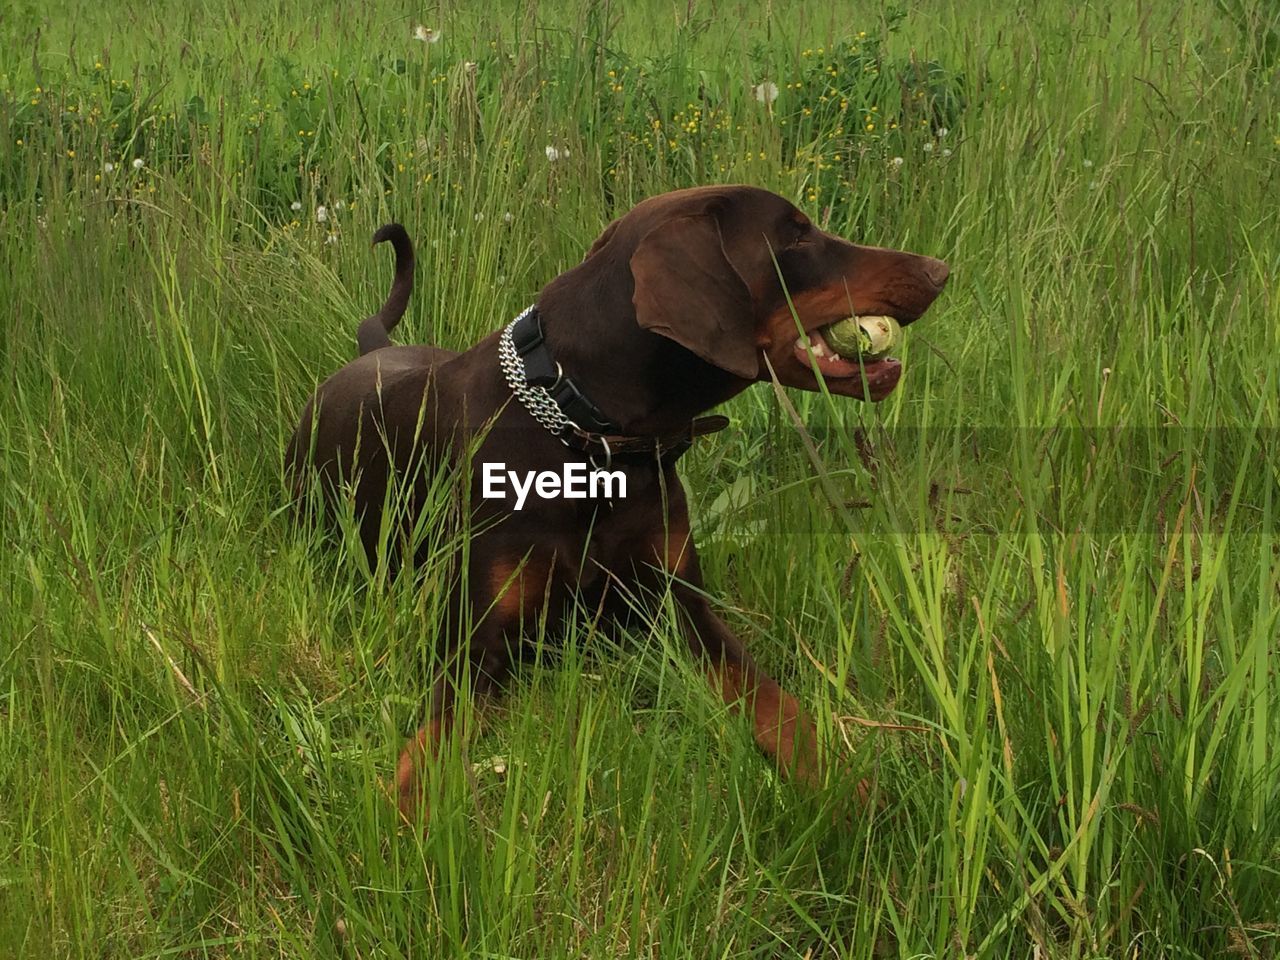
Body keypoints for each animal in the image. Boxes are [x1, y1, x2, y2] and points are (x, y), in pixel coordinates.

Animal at [290, 185, 952, 819]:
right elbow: (432, 740)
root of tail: (370, 351)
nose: (940, 270)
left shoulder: (683, 609)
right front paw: (405, 816)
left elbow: (778, 704)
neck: (591, 440)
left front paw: (845, 787)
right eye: (794, 236)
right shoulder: (476, 643)